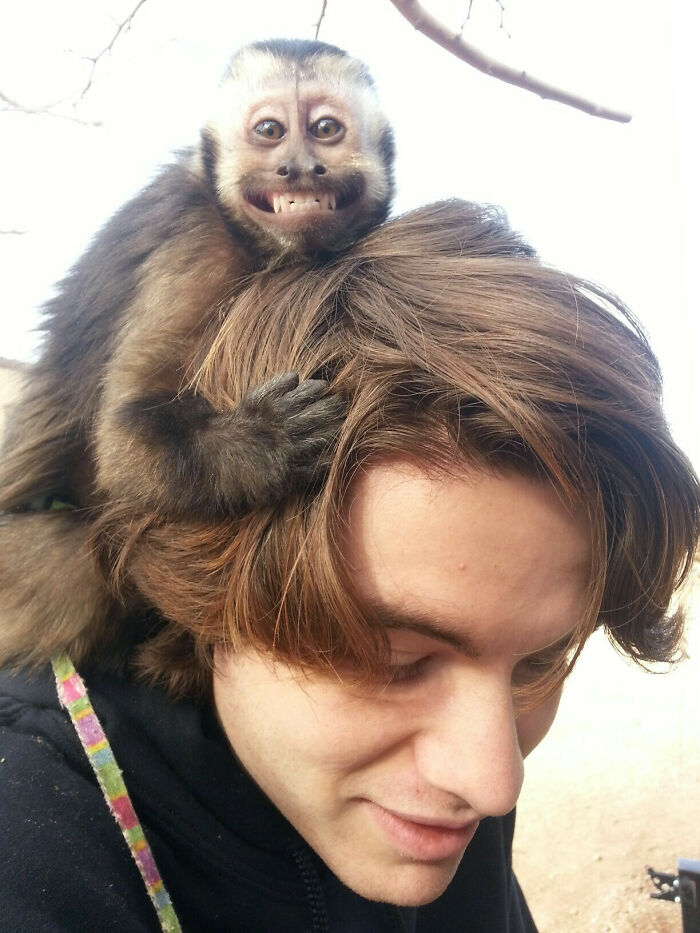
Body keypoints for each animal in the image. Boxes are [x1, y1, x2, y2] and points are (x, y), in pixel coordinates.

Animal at [0, 38, 395, 678]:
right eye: (270, 131)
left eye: (326, 130)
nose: (298, 167)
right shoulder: (194, 246)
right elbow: (124, 441)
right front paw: (265, 439)